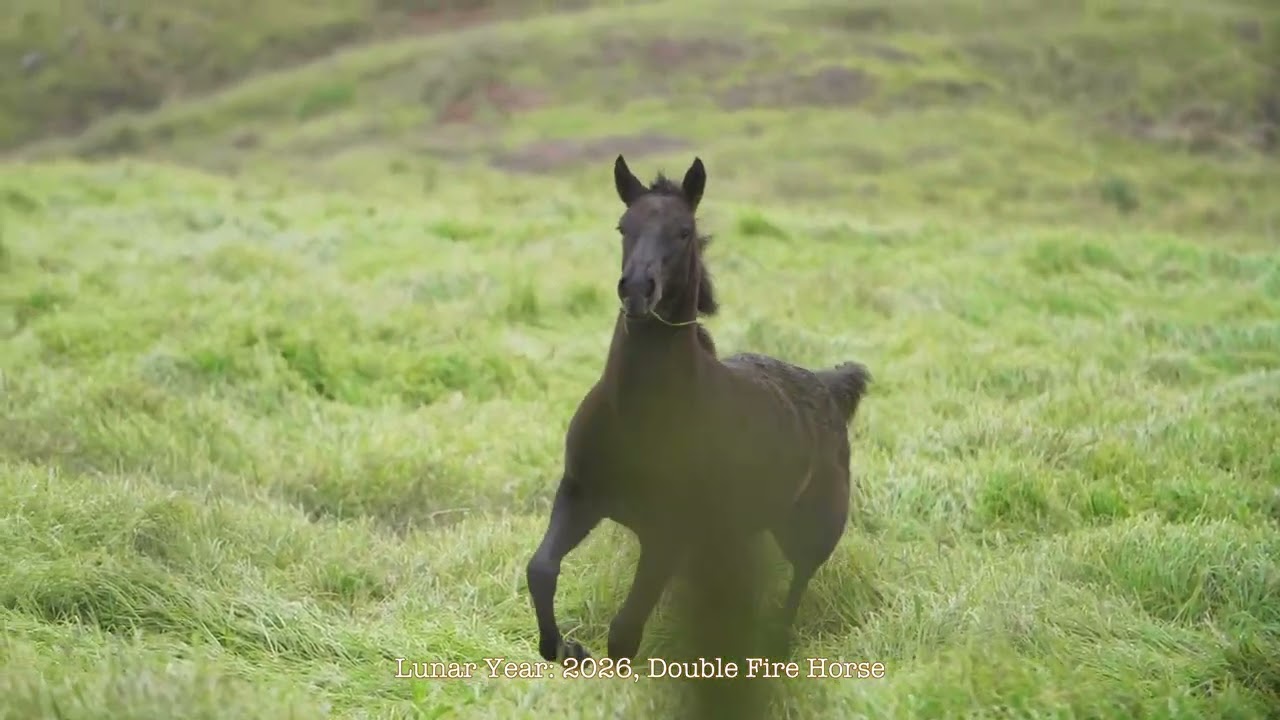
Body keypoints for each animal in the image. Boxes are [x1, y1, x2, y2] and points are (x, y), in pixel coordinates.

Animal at [525, 154, 871, 665]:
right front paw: (567, 648)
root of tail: (826, 385)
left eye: (684, 231)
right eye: (623, 226)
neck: (639, 415)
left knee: (798, 582)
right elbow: (542, 569)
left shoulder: (669, 532)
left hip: (812, 528)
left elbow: (624, 633)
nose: (637, 291)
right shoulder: (580, 494)